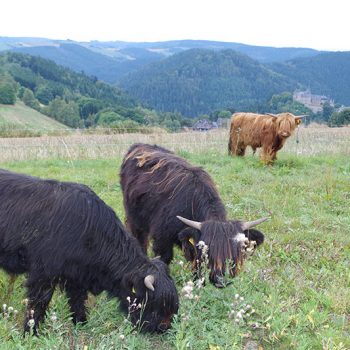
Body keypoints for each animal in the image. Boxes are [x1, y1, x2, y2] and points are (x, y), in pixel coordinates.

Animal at [0, 169, 179, 334]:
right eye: (155, 303)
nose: (165, 327)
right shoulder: (43, 274)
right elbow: (38, 303)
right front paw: (31, 331)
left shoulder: (76, 275)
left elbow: (77, 299)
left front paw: (81, 322)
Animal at [120, 142, 268, 288]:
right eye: (208, 252)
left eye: (236, 253)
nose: (220, 280)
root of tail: (139, 145)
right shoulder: (162, 238)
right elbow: (164, 258)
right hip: (134, 218)